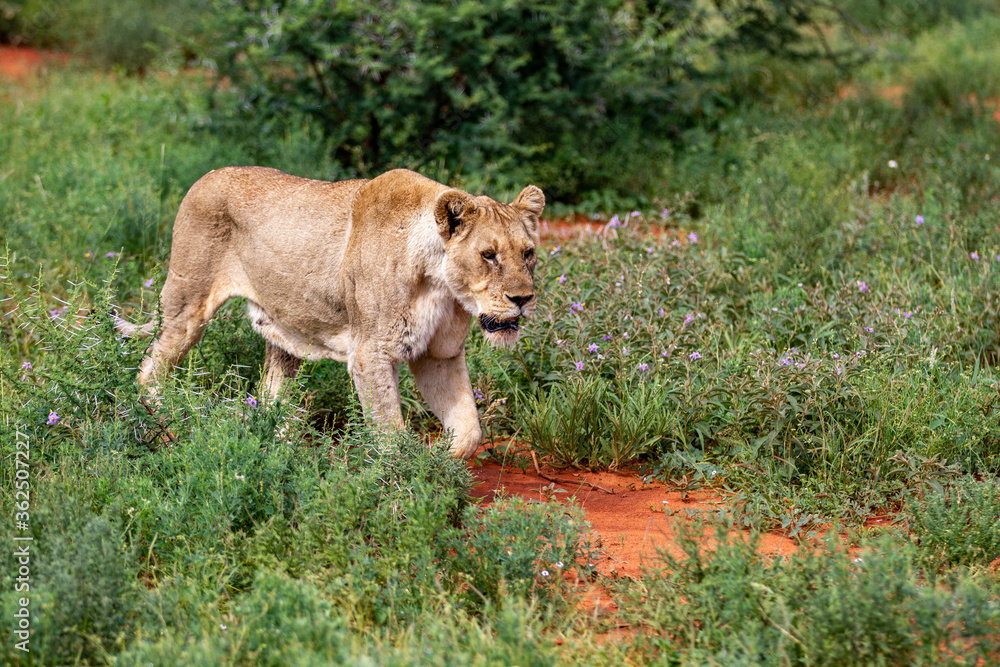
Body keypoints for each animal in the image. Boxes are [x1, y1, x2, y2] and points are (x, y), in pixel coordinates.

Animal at [116, 167, 543, 459]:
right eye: (488, 255)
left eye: (528, 254)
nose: (523, 298)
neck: (440, 283)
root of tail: (205, 176)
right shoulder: (370, 353)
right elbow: (391, 435)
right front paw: (403, 483)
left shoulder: (439, 354)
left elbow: (469, 430)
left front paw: (439, 462)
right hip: (187, 307)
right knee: (149, 369)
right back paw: (164, 423)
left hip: (281, 334)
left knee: (269, 400)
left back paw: (277, 447)